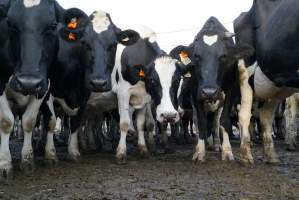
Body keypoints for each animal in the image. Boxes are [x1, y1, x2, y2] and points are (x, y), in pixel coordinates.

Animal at [236, 0, 299, 164]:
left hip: (276, 86)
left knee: (266, 116)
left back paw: (271, 155)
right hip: (246, 75)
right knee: (244, 115)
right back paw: (246, 155)